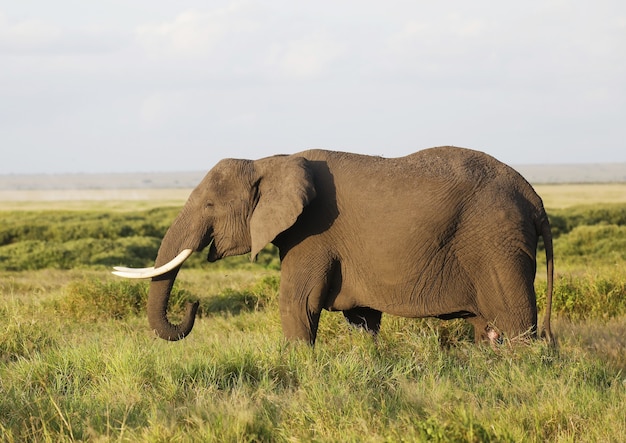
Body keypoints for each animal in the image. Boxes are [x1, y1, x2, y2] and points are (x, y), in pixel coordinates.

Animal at [112, 147, 552, 346]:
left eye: (208, 206)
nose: (194, 303)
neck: (268, 161)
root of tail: (534, 197)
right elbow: (362, 319)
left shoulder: (312, 233)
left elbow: (296, 304)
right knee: (486, 329)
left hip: (497, 244)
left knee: (516, 326)